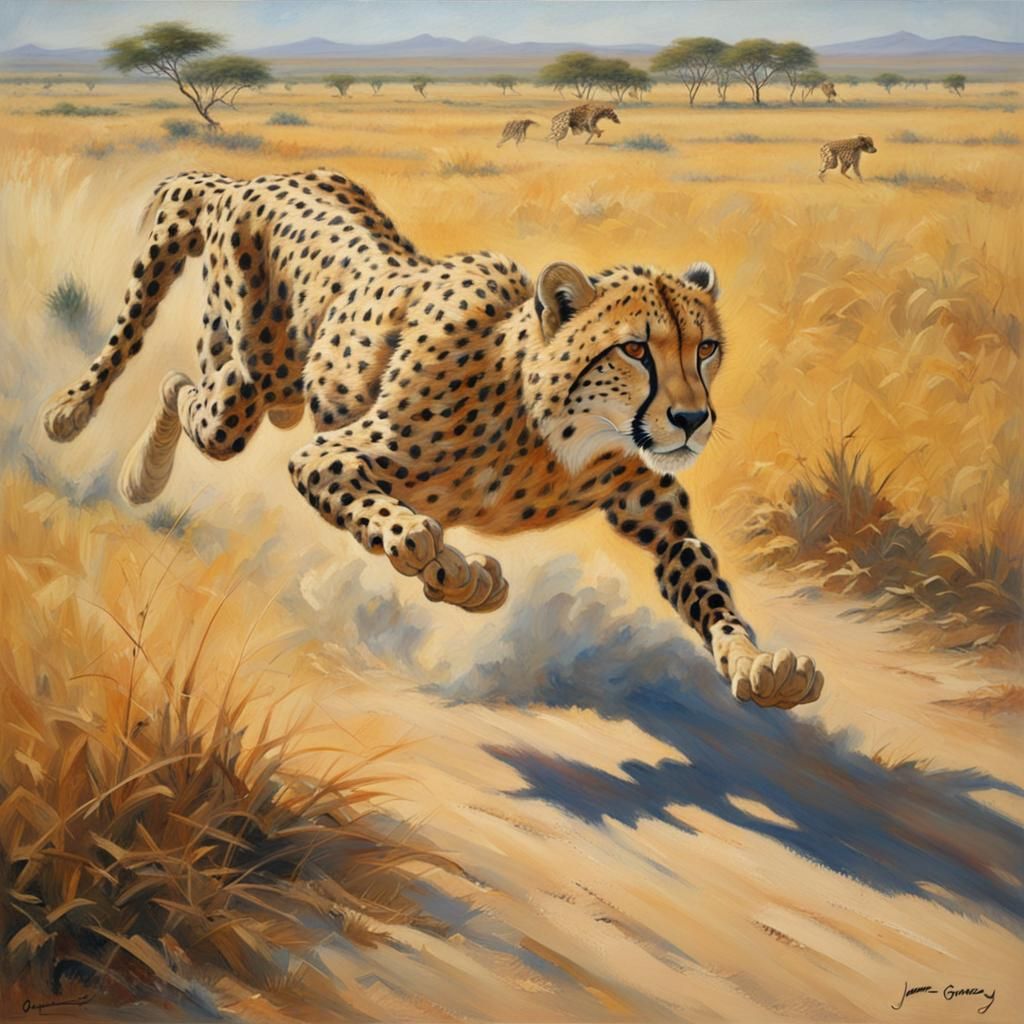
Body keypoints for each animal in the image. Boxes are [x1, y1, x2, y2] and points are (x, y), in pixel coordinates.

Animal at [43, 168, 824, 711]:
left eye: (706, 349)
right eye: (635, 349)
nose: (692, 420)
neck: (548, 429)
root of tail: (253, 180)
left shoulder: (654, 511)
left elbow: (702, 579)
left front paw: (757, 666)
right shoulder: (326, 454)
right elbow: (396, 524)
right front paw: (446, 562)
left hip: (278, 394)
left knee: (197, 380)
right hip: (246, 391)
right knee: (184, 385)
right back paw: (140, 473)